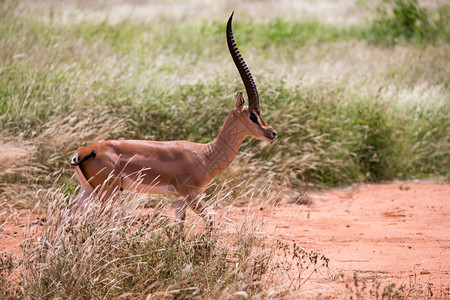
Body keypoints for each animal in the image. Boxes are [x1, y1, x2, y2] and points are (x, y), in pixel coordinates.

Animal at [69, 11, 278, 227]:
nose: (272, 133)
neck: (205, 154)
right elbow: (209, 221)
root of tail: (81, 153)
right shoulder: (190, 195)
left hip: (88, 191)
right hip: (106, 193)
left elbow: (179, 226)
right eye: (252, 115)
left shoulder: (180, 199)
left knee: (66, 211)